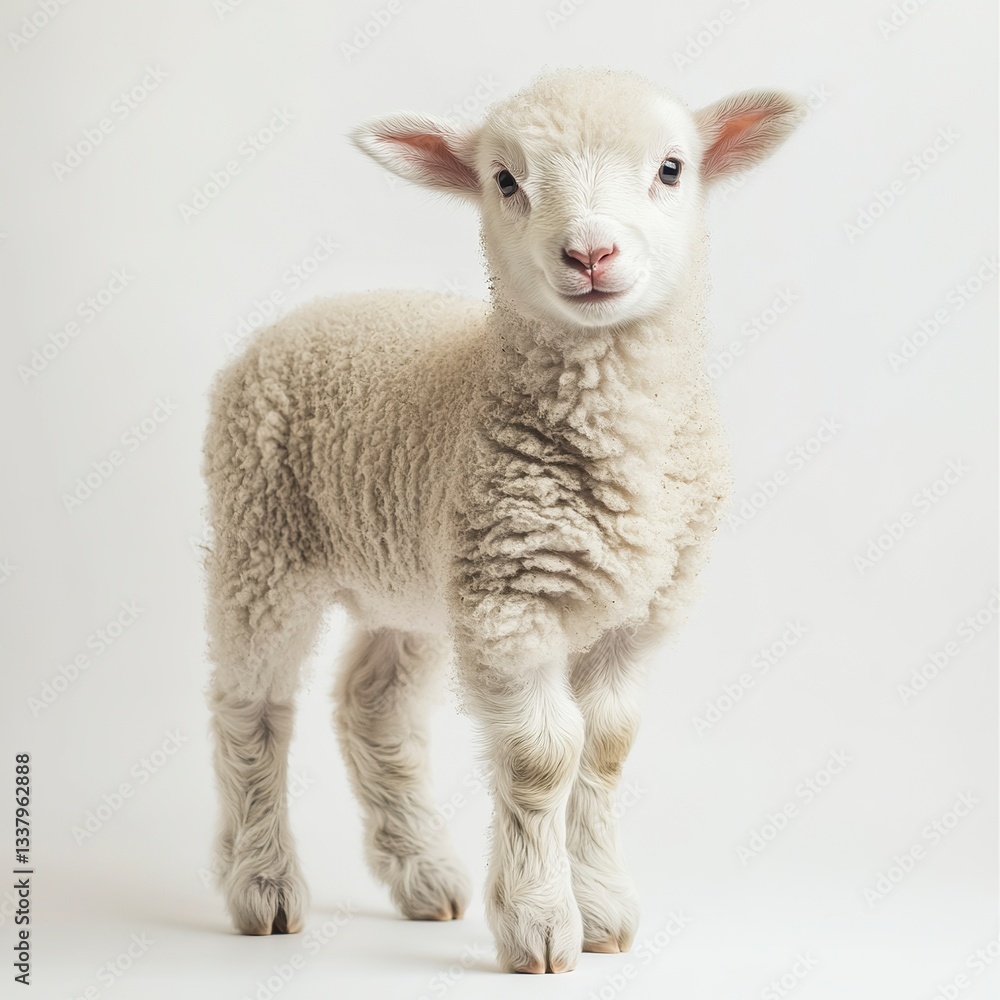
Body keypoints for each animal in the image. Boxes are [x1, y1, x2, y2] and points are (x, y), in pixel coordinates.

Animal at [203, 67, 805, 974]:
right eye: (506, 180)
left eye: (672, 169)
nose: (590, 254)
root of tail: (304, 315)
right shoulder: (509, 604)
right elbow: (542, 758)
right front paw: (539, 923)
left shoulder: (638, 612)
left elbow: (605, 749)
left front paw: (601, 910)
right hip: (261, 545)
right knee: (252, 707)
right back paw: (261, 883)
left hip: (409, 576)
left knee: (372, 704)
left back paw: (422, 873)